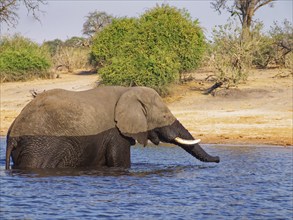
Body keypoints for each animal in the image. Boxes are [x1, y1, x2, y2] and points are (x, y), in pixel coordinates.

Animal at [5, 85, 219, 168]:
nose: (218, 159)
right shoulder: (115, 133)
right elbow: (120, 162)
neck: (128, 91)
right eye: (165, 116)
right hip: (41, 146)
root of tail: (13, 133)